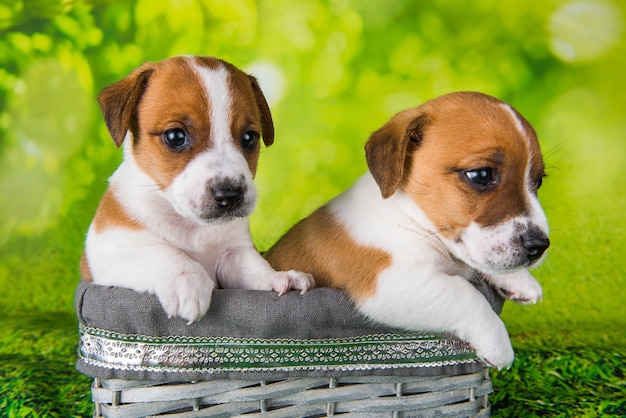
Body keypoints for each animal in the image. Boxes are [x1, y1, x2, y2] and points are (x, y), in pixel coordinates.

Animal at [83, 55, 314, 324]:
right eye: (175, 136)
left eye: (249, 138)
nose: (230, 195)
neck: (191, 227)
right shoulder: (105, 253)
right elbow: (161, 251)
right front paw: (187, 280)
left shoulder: (234, 253)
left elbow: (254, 268)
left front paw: (278, 276)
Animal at [266, 92, 548, 370]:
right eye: (481, 175)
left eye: (538, 181)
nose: (539, 246)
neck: (408, 216)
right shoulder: (392, 282)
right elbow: (465, 294)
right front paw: (497, 340)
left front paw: (518, 279)